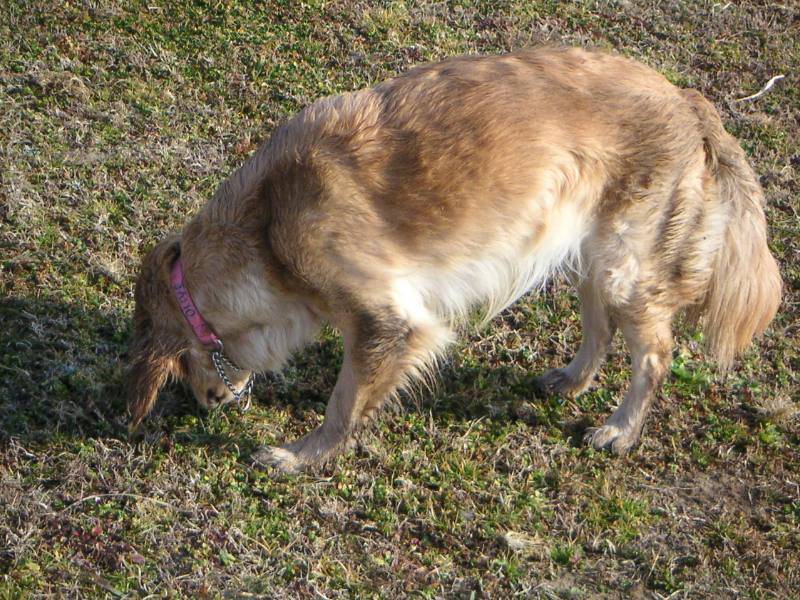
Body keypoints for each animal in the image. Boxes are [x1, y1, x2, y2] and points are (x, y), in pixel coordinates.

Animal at [127, 47, 781, 473]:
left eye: (184, 369)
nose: (207, 406)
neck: (267, 220)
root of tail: (689, 101)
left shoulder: (388, 322)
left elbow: (344, 404)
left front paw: (301, 455)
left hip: (628, 265)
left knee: (652, 354)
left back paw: (620, 430)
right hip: (591, 253)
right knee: (599, 328)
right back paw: (571, 380)